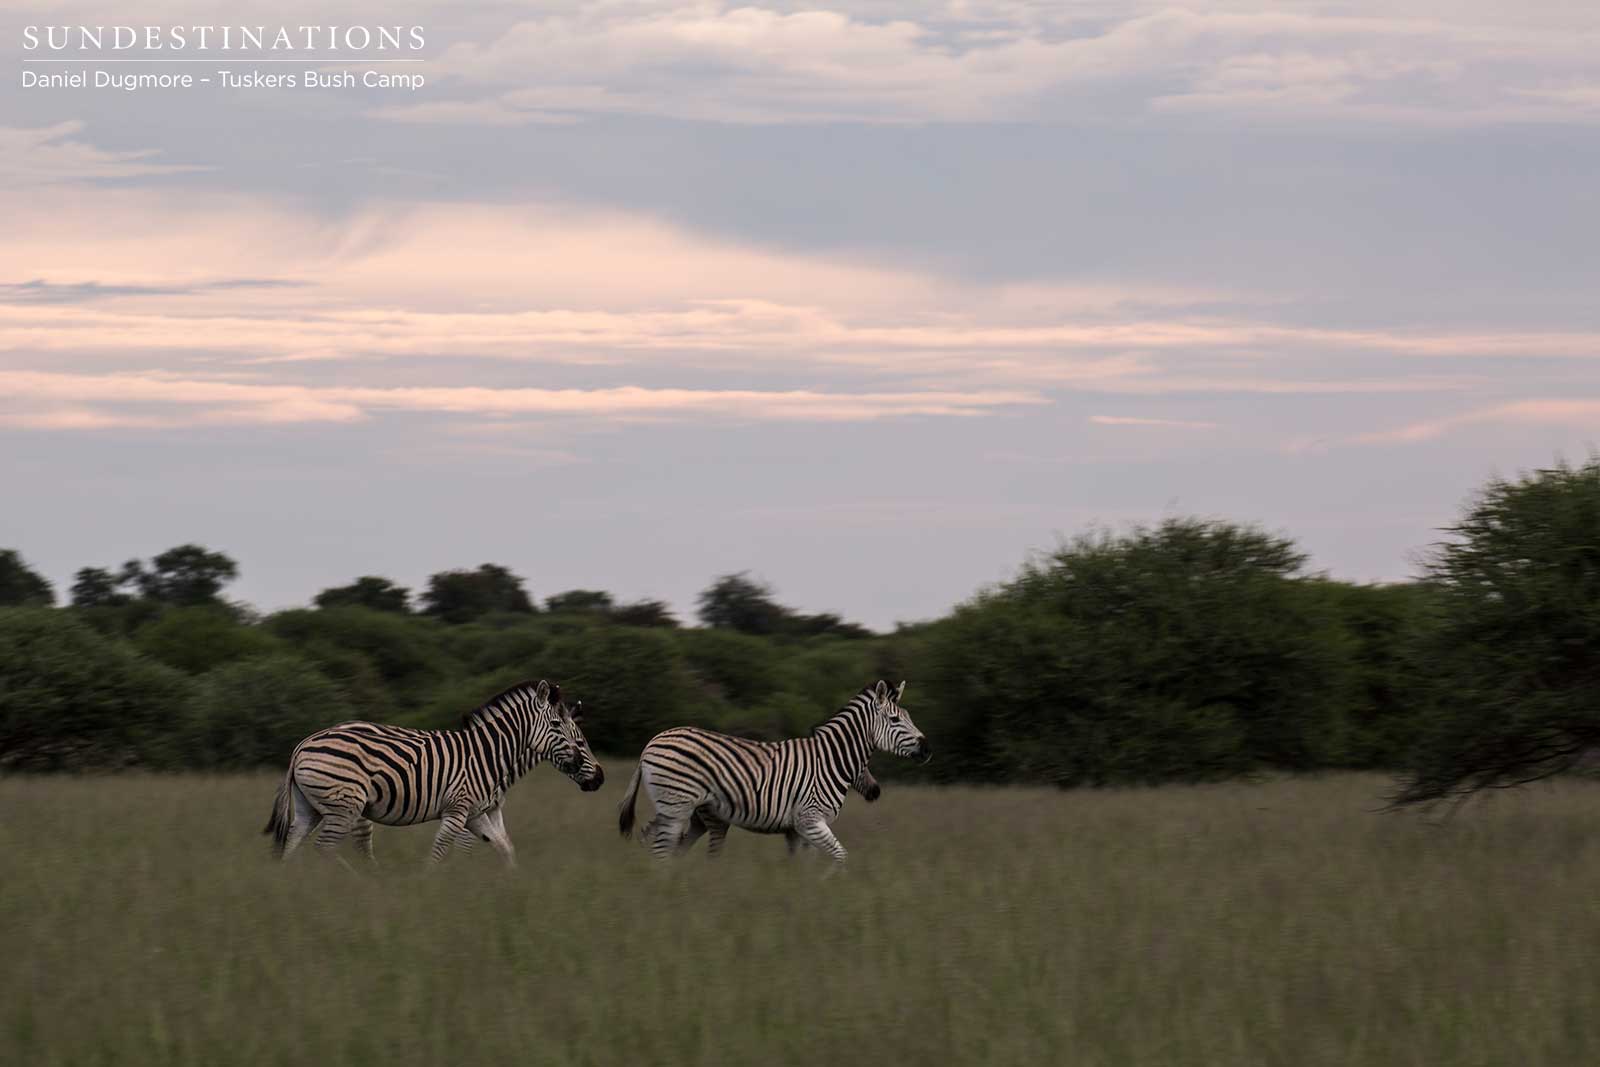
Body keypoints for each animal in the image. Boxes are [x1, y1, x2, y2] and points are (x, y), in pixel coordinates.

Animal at [263, 679, 602, 868]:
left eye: (580, 739)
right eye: (560, 728)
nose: (599, 778)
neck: (490, 755)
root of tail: (302, 745)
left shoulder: (479, 812)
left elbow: (505, 848)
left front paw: (512, 890)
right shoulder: (457, 810)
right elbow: (440, 855)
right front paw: (429, 890)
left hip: (311, 808)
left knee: (292, 845)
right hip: (346, 806)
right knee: (326, 848)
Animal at [617, 679, 929, 867]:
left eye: (909, 717)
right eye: (895, 719)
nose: (927, 749)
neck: (828, 761)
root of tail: (652, 742)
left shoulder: (796, 830)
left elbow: (804, 867)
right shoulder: (809, 821)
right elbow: (840, 858)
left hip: (683, 810)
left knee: (660, 843)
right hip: (677, 806)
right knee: (662, 851)